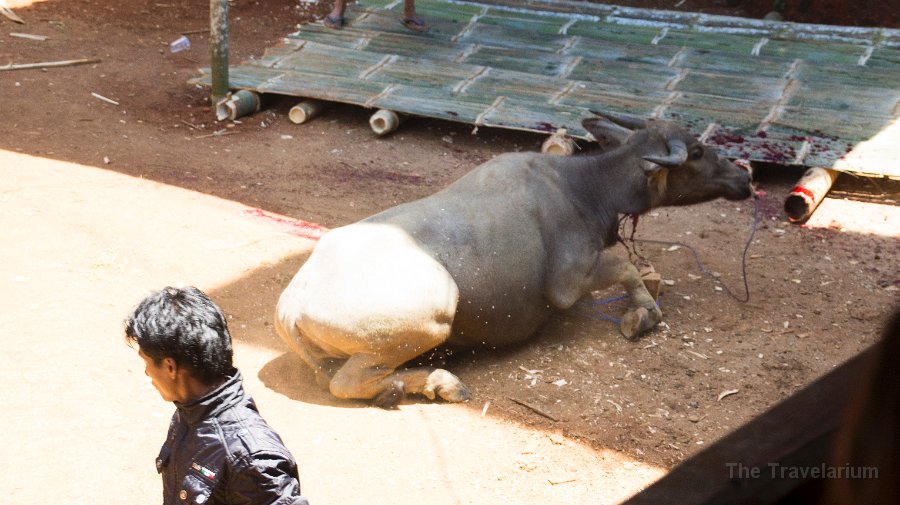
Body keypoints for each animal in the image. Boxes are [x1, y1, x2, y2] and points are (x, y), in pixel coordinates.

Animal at [276, 110, 752, 406]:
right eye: (696, 152)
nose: (744, 177)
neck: (581, 187)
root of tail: (291, 305)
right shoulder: (570, 281)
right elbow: (627, 268)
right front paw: (644, 314)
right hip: (433, 317)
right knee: (347, 383)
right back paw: (437, 383)